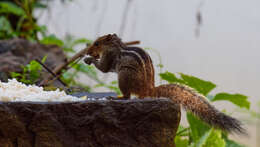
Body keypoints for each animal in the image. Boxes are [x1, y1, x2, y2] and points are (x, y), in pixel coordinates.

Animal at [84, 33, 246, 134]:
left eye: (97, 43)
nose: (88, 51)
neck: (116, 46)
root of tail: (148, 90)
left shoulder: (109, 56)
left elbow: (103, 68)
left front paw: (89, 60)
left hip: (124, 76)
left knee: (127, 96)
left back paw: (116, 97)